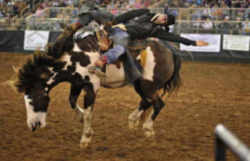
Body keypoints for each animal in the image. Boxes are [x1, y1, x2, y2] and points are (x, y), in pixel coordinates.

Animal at [16, 28, 182, 147]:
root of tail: (170, 51)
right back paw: (133, 120)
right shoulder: (77, 83)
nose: (32, 125)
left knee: (158, 103)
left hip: (148, 85)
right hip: (140, 84)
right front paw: (82, 121)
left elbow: (89, 112)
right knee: (147, 101)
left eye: (32, 100)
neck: (77, 58)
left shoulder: (91, 87)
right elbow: (72, 102)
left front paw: (85, 138)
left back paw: (147, 129)